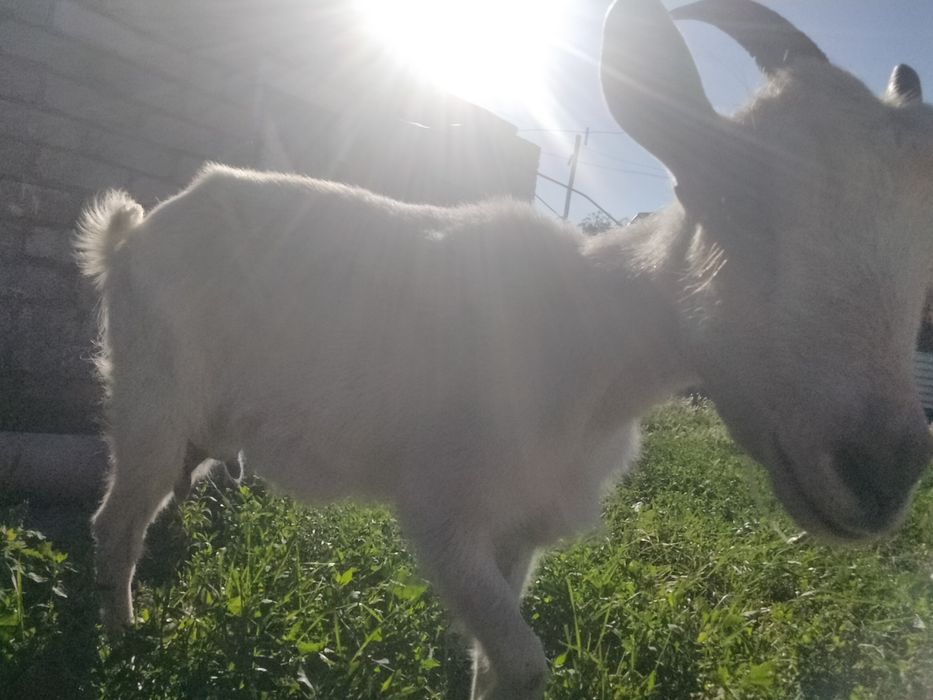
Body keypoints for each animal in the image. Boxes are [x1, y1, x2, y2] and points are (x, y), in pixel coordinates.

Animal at [76, 1, 933, 697]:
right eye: (724, 194)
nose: (881, 471)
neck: (590, 336)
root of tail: (129, 234)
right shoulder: (439, 512)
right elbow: (521, 664)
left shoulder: (521, 529)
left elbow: (492, 666)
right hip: (150, 397)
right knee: (114, 522)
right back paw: (120, 642)